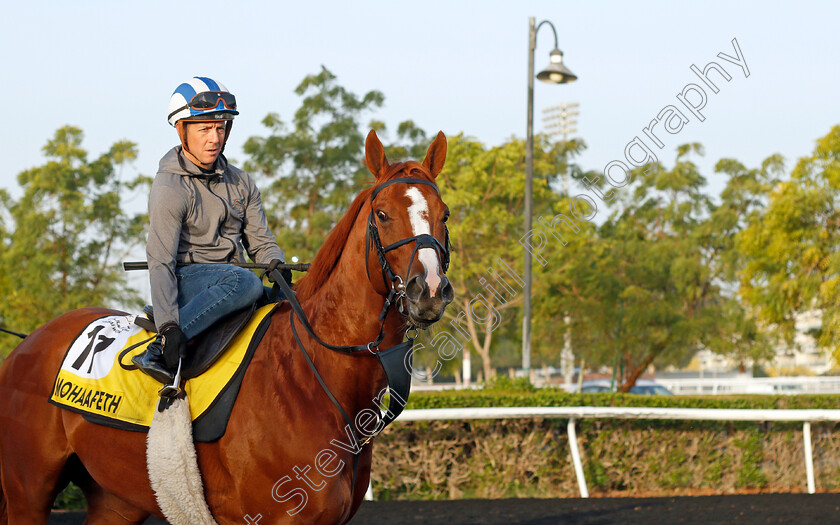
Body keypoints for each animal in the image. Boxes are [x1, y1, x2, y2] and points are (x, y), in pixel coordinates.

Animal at [0, 128, 452, 524]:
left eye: (444, 214)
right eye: (383, 214)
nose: (429, 289)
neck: (312, 376)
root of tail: (26, 345)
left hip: (115, 499)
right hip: (27, 493)